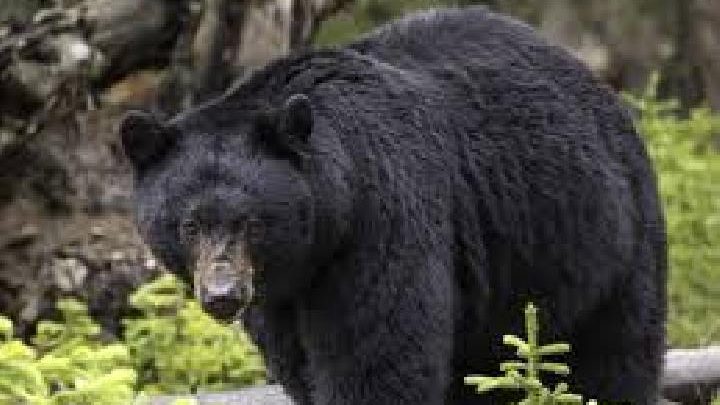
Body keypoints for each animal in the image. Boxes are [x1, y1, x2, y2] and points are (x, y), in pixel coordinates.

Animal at [120, 6, 666, 405]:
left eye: (252, 222)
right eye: (190, 224)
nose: (223, 294)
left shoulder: (381, 220)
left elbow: (378, 356)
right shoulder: (278, 297)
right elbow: (299, 365)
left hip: (603, 239)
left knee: (614, 355)